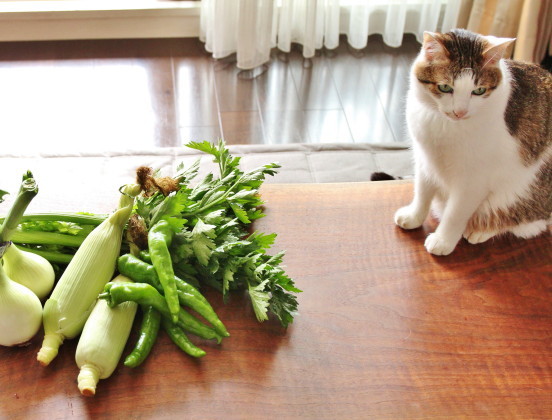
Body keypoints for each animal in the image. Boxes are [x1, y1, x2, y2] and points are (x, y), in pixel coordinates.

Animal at [394, 28, 548, 256]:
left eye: (479, 91)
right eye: (445, 87)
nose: (460, 112)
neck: (444, 125)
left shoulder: (474, 179)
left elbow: (456, 212)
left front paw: (443, 240)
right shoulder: (425, 159)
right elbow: (422, 191)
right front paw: (414, 216)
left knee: (529, 222)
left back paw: (482, 230)